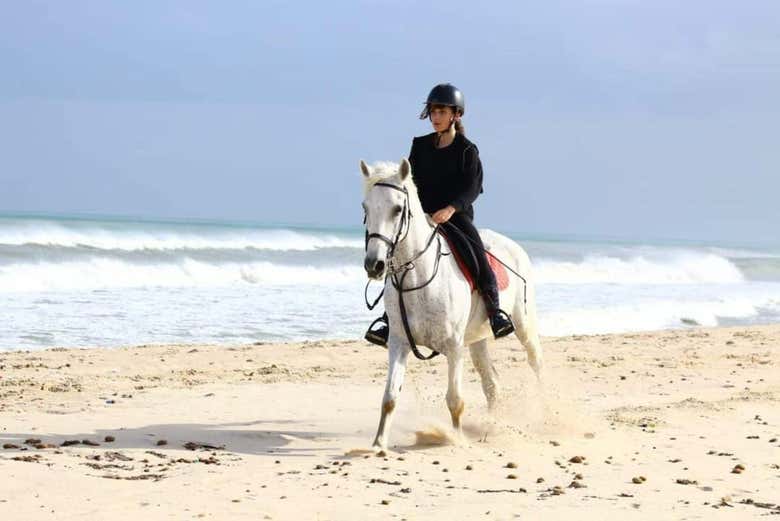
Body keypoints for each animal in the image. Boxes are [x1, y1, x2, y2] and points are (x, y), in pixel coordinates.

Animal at [360, 158, 543, 451]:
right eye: (365, 207)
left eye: (398, 209)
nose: (374, 265)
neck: (419, 277)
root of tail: (514, 246)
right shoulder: (398, 343)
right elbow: (389, 398)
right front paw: (378, 445)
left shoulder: (454, 347)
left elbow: (455, 401)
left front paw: (455, 440)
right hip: (478, 340)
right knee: (492, 383)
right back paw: (490, 428)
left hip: (524, 325)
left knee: (536, 364)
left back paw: (548, 414)